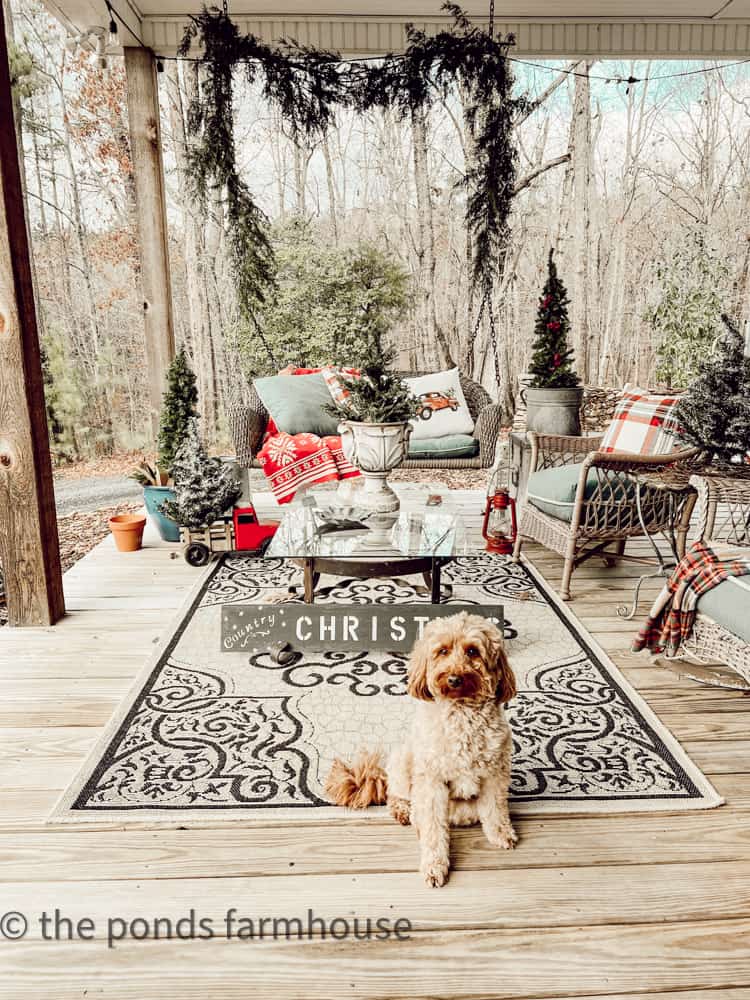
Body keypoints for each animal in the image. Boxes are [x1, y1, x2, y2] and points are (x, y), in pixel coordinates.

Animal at [326, 612, 520, 888]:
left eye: (472, 651)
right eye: (442, 651)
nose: (454, 679)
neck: (462, 714)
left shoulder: (495, 773)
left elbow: (495, 809)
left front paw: (501, 834)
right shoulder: (431, 780)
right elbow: (433, 831)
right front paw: (434, 866)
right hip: (402, 758)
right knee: (398, 795)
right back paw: (404, 812)